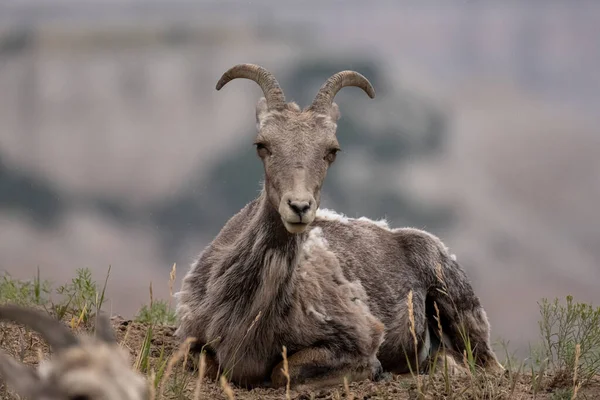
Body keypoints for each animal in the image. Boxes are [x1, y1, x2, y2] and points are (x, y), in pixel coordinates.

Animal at [175, 64, 502, 390]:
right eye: (262, 145)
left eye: (331, 150)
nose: (299, 207)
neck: (249, 317)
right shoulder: (192, 339)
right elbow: (203, 363)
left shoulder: (358, 336)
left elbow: (283, 372)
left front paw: (375, 370)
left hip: (457, 304)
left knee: (484, 364)